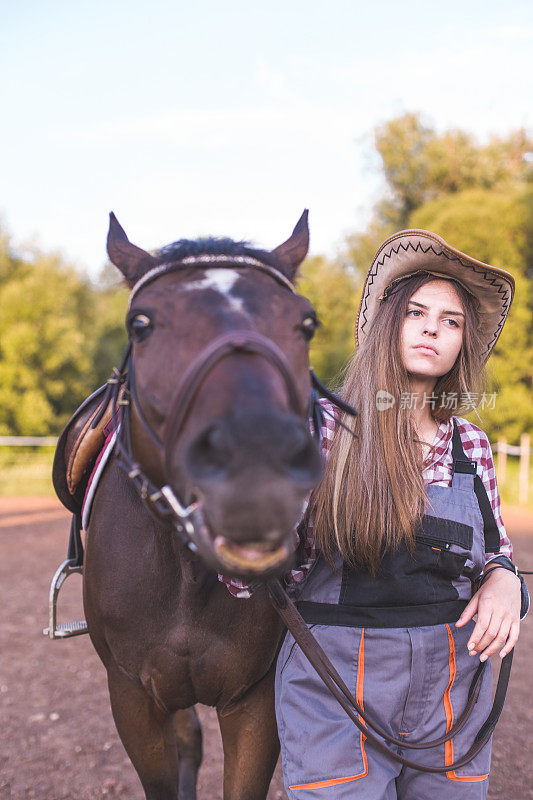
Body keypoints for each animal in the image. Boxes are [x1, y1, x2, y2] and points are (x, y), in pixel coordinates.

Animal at [81, 212, 322, 800]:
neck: (187, 573)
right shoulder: (132, 697)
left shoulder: (254, 700)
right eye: (140, 324)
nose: (256, 468)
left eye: (306, 324)